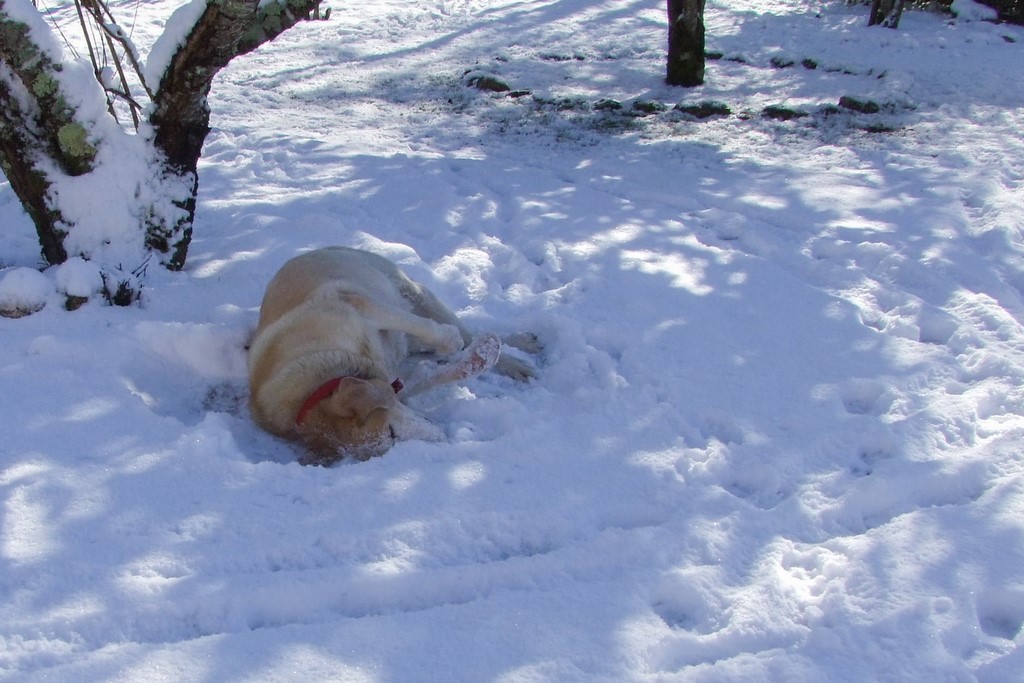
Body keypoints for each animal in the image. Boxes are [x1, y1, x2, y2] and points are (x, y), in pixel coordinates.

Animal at [248, 247, 535, 465]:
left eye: (391, 431)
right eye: (390, 443)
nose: (442, 438)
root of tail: (311, 251)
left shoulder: (359, 305)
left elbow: (432, 332)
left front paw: (455, 344)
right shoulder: (392, 380)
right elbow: (426, 377)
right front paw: (470, 361)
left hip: (412, 294)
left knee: (460, 329)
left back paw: (515, 356)